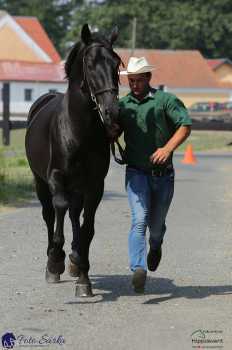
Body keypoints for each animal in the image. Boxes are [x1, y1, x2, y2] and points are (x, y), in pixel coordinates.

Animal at [25, 24, 121, 296]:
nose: (112, 112)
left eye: (116, 63)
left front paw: (83, 276)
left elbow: (87, 228)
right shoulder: (56, 177)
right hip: (40, 182)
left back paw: (76, 262)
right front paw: (56, 260)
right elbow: (59, 209)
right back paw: (53, 261)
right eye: (90, 64)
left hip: (78, 186)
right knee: (51, 214)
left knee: (75, 215)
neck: (79, 129)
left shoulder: (95, 185)